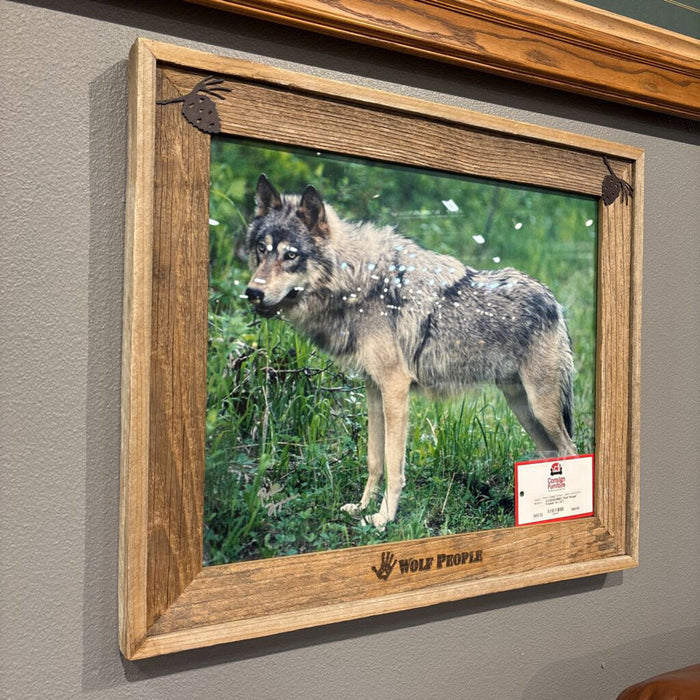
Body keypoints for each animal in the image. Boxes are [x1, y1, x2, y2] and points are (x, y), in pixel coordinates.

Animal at [244, 174, 576, 528]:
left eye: (291, 255)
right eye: (262, 250)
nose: (252, 292)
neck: (357, 281)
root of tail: (553, 301)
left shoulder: (395, 388)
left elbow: (393, 464)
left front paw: (383, 518)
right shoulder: (373, 389)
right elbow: (374, 459)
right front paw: (361, 507)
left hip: (541, 408)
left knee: (570, 450)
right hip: (523, 409)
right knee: (553, 455)